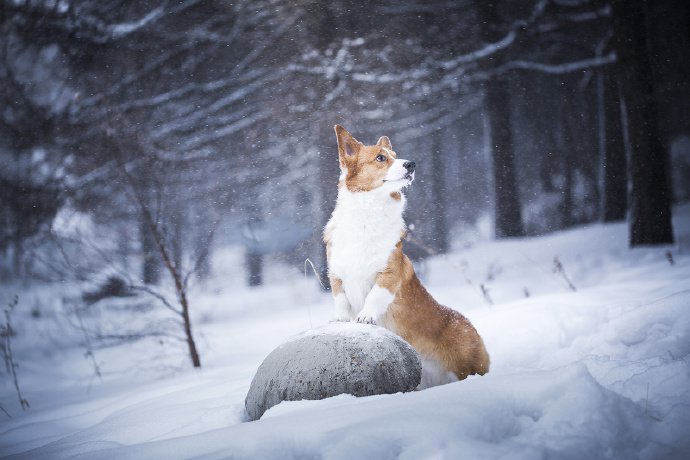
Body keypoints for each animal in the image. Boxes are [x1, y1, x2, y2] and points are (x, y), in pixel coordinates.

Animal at [324, 125, 490, 388]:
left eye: (395, 154)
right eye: (381, 158)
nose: (411, 164)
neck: (367, 214)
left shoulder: (389, 274)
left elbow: (374, 296)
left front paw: (365, 316)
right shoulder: (336, 274)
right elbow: (340, 300)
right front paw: (340, 319)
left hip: (466, 361)